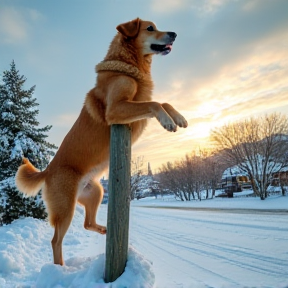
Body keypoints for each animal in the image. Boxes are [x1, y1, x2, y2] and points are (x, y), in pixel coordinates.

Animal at [15, 18, 188, 266]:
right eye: (150, 28)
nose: (174, 33)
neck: (128, 65)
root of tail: (47, 170)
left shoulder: (133, 109)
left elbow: (162, 101)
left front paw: (178, 117)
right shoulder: (116, 109)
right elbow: (155, 103)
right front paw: (167, 121)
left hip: (95, 192)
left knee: (87, 223)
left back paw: (104, 230)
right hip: (65, 208)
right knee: (56, 241)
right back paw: (60, 267)